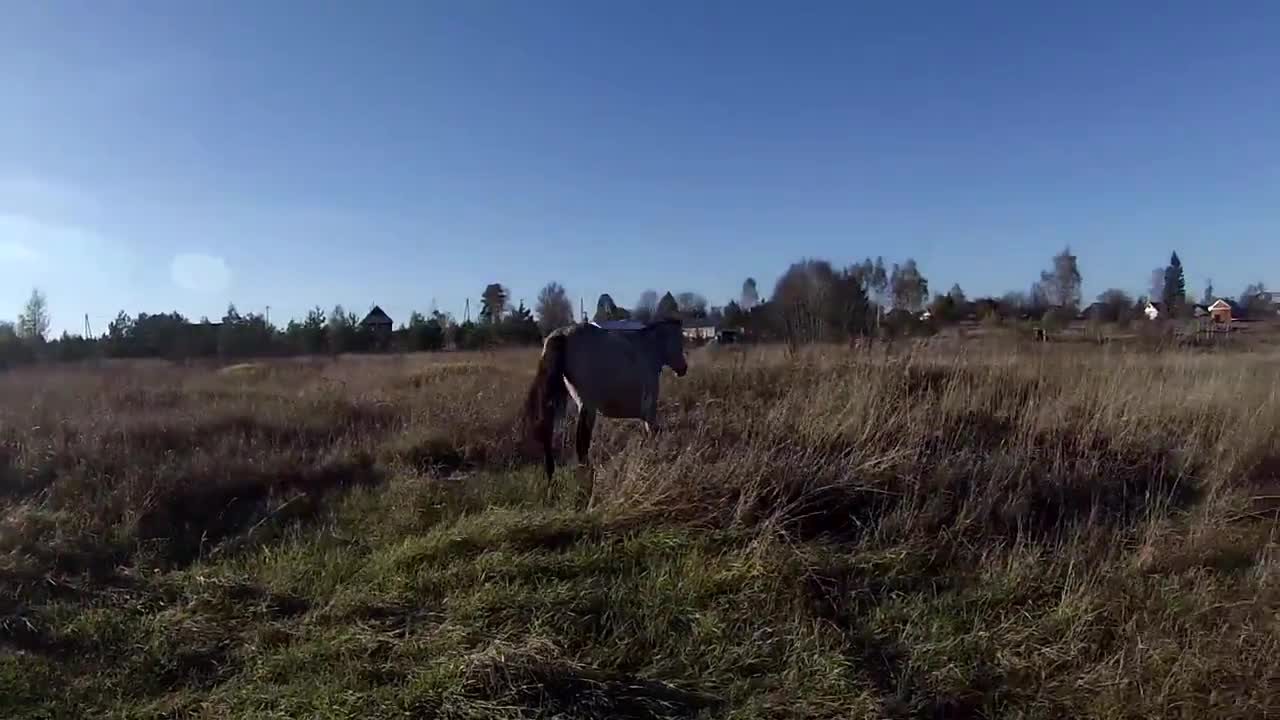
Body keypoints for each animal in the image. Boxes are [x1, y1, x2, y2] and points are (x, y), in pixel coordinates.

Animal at [522, 319, 691, 486]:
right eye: (679, 341)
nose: (683, 368)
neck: (649, 349)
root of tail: (562, 334)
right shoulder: (649, 408)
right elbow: (652, 433)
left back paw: (552, 476)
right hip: (587, 406)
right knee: (581, 443)